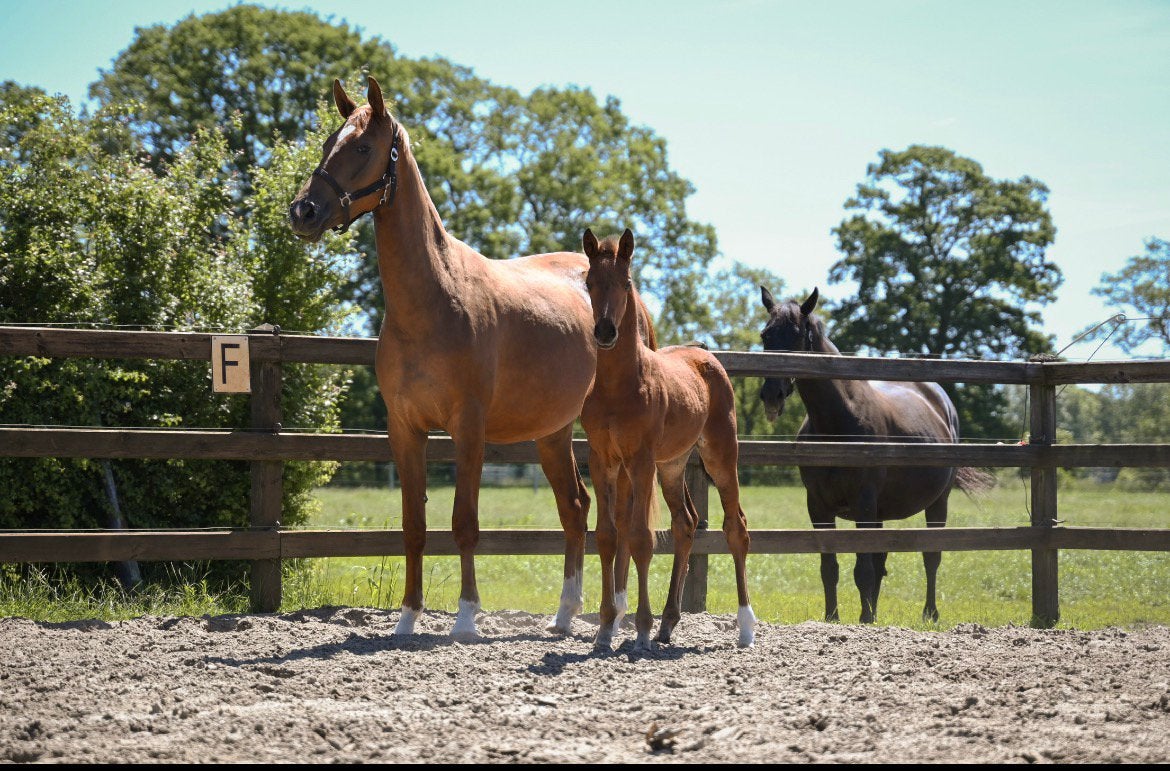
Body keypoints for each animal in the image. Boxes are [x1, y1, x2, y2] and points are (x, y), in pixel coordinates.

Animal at [288, 76, 653, 638]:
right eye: (329, 142)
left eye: (364, 147)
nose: (304, 211)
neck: (435, 299)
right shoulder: (404, 429)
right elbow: (413, 526)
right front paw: (407, 618)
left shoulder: (468, 427)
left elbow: (464, 524)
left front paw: (465, 617)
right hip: (553, 432)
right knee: (574, 509)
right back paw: (565, 614)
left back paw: (609, 611)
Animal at [582, 228, 756, 650]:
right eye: (589, 282)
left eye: (626, 282)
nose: (605, 331)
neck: (618, 386)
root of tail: (708, 359)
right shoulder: (602, 458)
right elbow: (608, 536)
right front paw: (606, 629)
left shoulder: (640, 459)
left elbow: (641, 538)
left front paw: (641, 629)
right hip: (673, 466)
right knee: (686, 523)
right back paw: (669, 623)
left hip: (720, 456)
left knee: (736, 527)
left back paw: (745, 628)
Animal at [758, 286, 981, 624]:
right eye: (765, 335)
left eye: (796, 335)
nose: (772, 394)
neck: (838, 424)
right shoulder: (818, 506)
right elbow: (830, 568)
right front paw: (833, 618)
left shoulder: (863, 502)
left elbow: (862, 569)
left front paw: (862, 619)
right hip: (880, 511)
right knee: (880, 558)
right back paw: (875, 612)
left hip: (937, 502)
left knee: (931, 555)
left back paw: (929, 612)